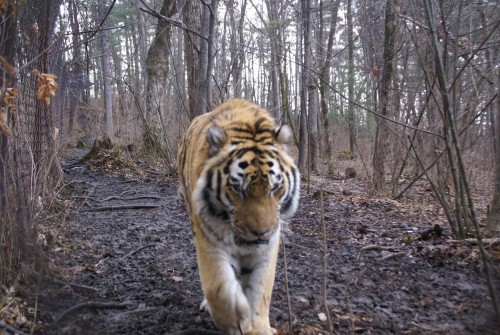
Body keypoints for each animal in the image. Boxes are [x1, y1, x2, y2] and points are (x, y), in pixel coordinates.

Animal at [177, 98, 298, 334]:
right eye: (237, 189)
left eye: (274, 188)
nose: (261, 232)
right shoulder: (208, 239)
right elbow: (217, 286)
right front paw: (236, 319)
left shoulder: (268, 246)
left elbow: (261, 289)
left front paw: (258, 328)